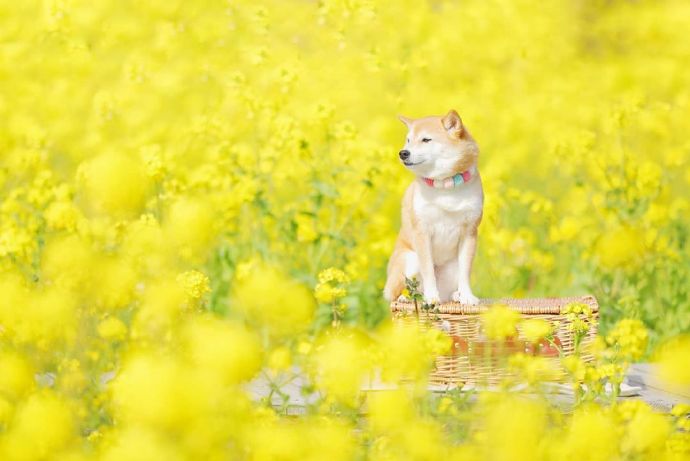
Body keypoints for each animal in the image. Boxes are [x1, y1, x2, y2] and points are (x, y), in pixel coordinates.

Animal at [384, 108, 482, 306]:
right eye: (408, 140)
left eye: (426, 140)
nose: (403, 153)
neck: (445, 186)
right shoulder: (422, 232)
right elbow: (428, 270)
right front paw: (431, 297)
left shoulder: (469, 233)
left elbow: (465, 273)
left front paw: (467, 296)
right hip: (410, 260)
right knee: (402, 291)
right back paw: (408, 298)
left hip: (452, 268)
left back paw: (455, 295)